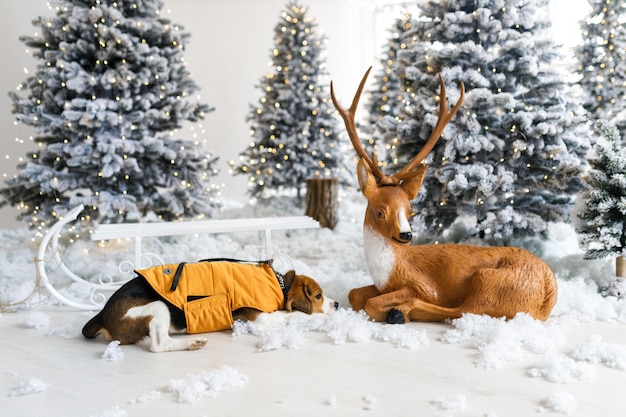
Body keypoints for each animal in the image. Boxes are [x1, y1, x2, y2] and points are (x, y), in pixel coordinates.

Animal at [84, 260, 336, 352]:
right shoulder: (258, 316)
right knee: (158, 345)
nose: (337, 303)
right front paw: (320, 317)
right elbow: (293, 315)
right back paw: (191, 343)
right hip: (158, 306)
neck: (279, 283)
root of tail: (102, 315)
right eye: (318, 295)